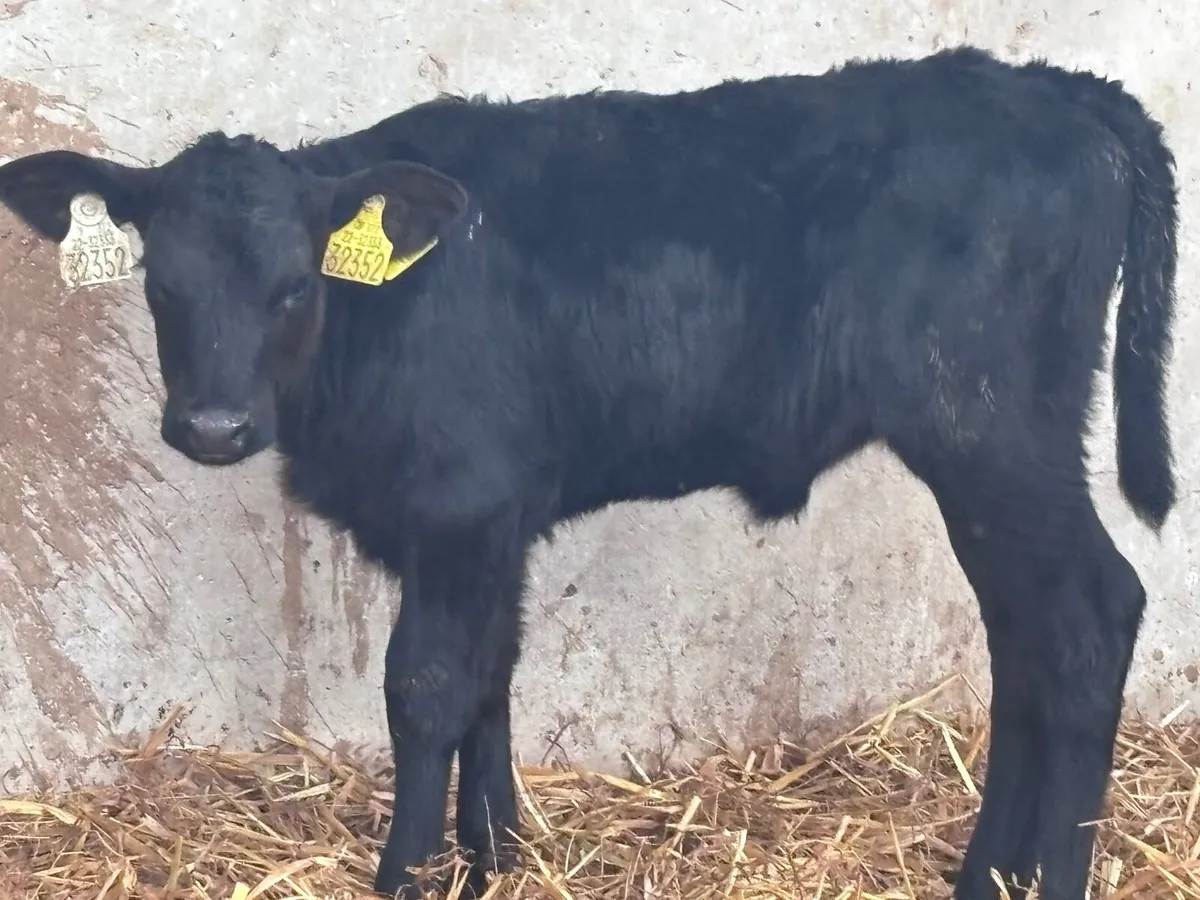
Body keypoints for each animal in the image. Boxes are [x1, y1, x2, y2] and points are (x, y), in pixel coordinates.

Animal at [0, 45, 1179, 900]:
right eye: (161, 285)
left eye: (295, 285)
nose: (213, 426)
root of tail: (1054, 88)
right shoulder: (489, 518)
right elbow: (493, 671)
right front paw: (491, 861)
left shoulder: (459, 504)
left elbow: (428, 687)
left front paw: (408, 876)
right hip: (992, 458)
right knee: (1026, 640)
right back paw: (988, 877)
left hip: (992, 437)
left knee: (1088, 617)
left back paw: (1049, 879)